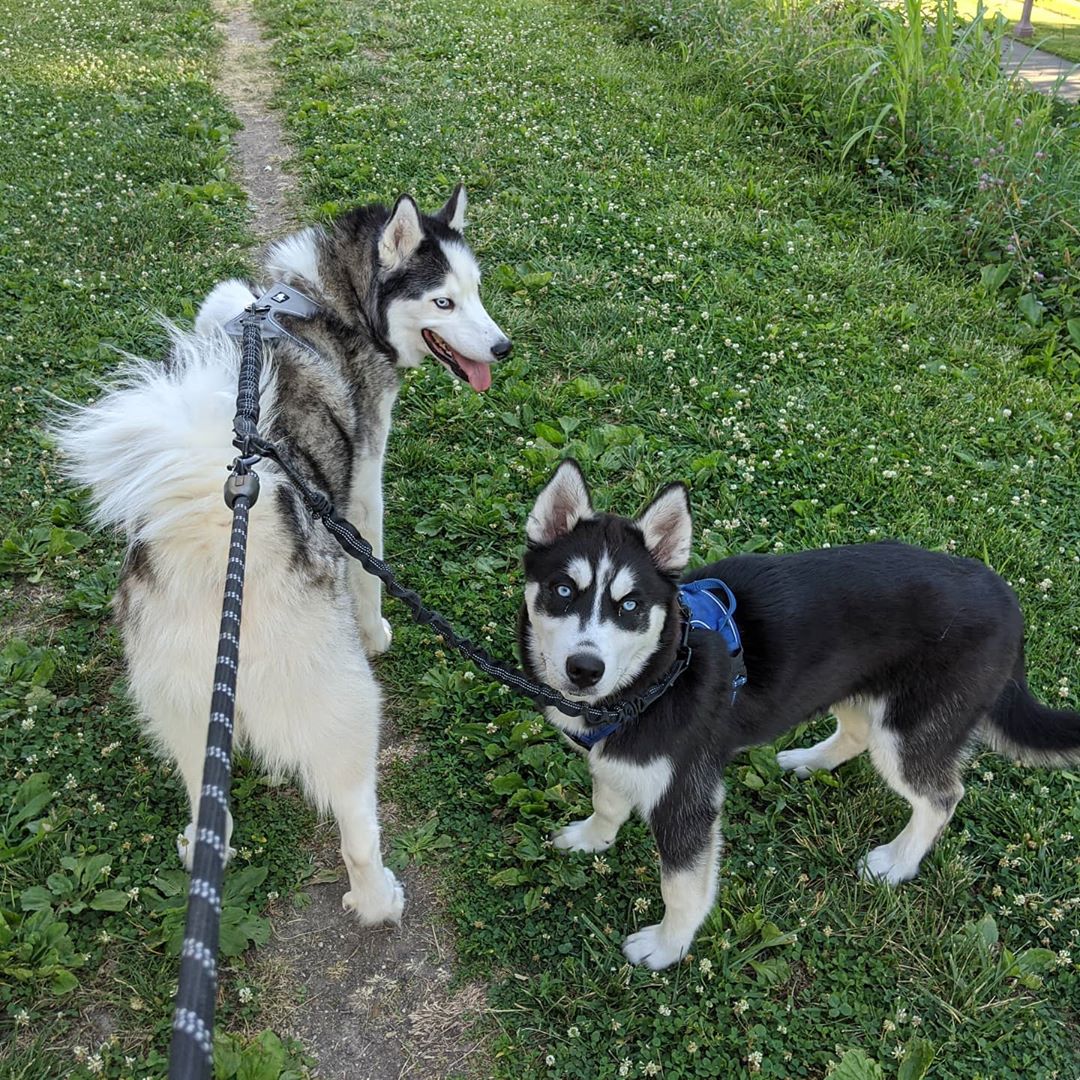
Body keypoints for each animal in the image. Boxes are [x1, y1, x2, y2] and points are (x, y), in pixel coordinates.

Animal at [58, 187, 509, 928]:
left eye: (476, 290)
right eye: (443, 302)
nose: (503, 346)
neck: (325, 300)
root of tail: (217, 541)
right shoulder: (364, 485)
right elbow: (370, 568)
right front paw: (379, 630)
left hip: (186, 706)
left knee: (206, 804)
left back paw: (202, 837)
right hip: (347, 704)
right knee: (356, 823)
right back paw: (378, 898)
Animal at [518, 462, 1075, 972]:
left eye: (630, 605)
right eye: (563, 591)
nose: (584, 668)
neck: (658, 675)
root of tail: (1006, 596)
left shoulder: (687, 797)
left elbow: (682, 884)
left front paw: (668, 945)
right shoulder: (614, 758)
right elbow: (607, 800)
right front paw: (591, 839)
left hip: (909, 731)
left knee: (941, 796)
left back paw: (897, 861)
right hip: (850, 684)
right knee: (857, 733)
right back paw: (810, 760)